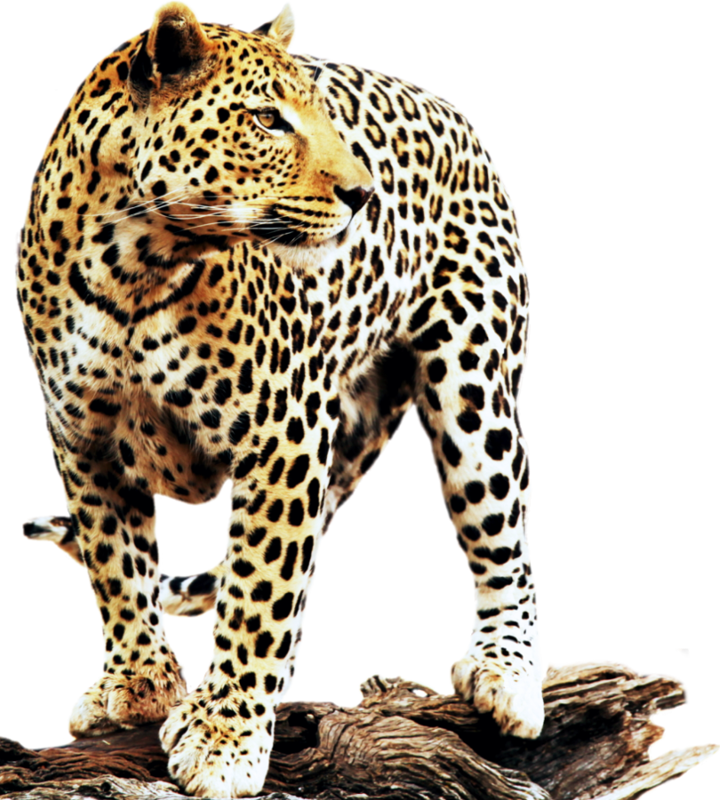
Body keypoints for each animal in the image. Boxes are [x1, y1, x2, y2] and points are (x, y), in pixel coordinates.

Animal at [14, 1, 542, 796]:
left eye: (322, 115)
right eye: (267, 120)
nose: (364, 195)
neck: (132, 265)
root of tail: (455, 115)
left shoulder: (281, 435)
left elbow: (259, 591)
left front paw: (223, 740)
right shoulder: (83, 438)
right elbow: (117, 566)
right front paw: (140, 683)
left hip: (474, 390)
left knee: (502, 538)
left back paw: (510, 674)